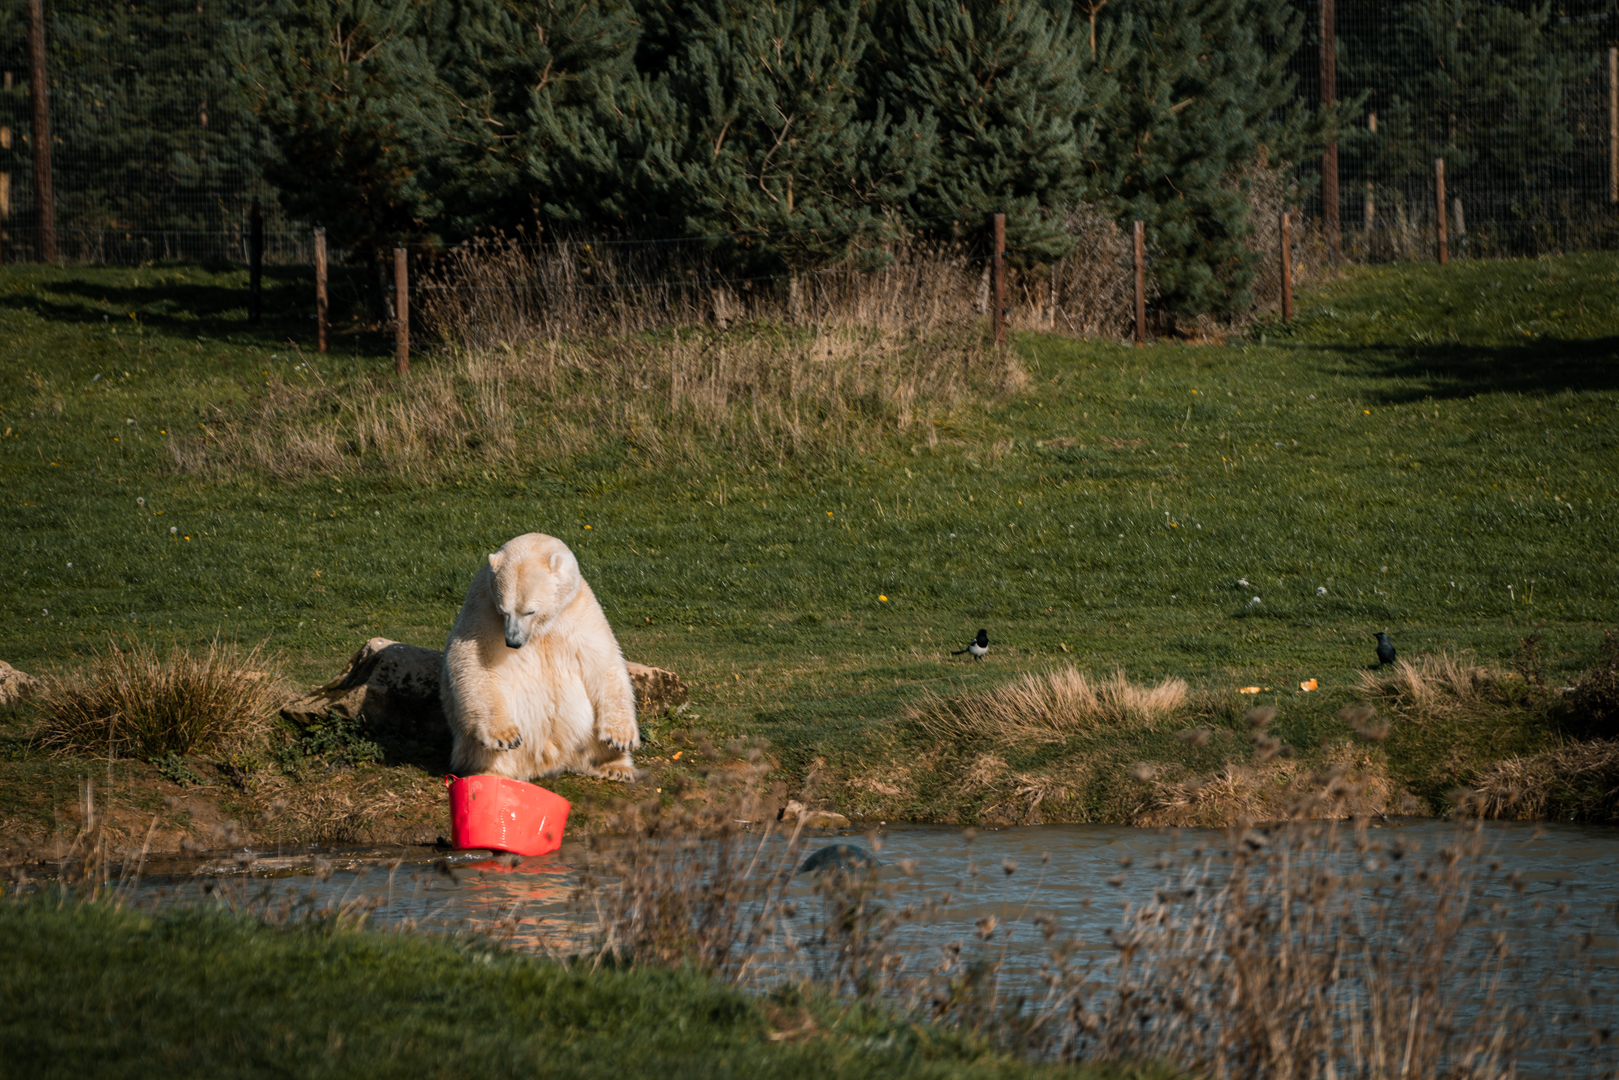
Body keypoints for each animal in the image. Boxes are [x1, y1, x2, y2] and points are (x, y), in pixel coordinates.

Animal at [441, 532, 640, 782]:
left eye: (530, 611)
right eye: (504, 610)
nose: (513, 641)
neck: (542, 628)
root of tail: (548, 760)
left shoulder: (579, 609)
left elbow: (603, 660)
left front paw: (620, 737)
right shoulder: (482, 606)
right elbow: (474, 661)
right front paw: (504, 735)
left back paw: (616, 767)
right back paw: (492, 772)